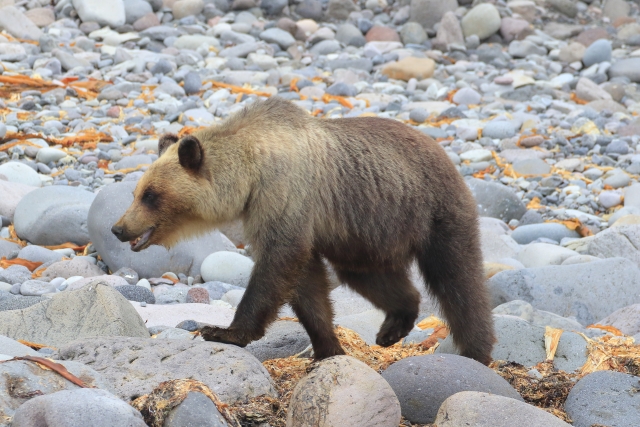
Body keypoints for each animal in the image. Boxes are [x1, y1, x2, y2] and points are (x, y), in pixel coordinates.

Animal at [111, 96, 495, 364]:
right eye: (136, 192)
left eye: (150, 195)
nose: (118, 228)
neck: (251, 174)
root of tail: (443, 152)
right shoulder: (293, 218)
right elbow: (306, 282)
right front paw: (327, 347)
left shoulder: (285, 196)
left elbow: (278, 264)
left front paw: (222, 331)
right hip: (363, 235)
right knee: (371, 277)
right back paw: (392, 327)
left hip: (432, 213)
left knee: (459, 280)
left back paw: (475, 351)